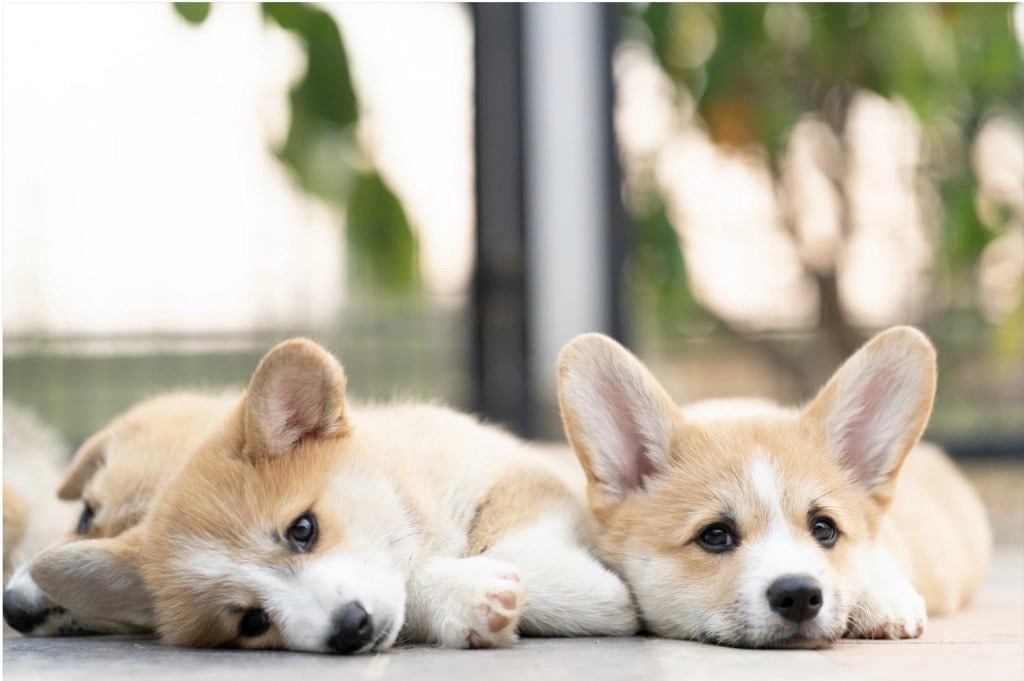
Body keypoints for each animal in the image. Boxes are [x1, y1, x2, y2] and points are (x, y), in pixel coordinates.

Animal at [29, 339, 638, 655]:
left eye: (303, 529)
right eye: (251, 622)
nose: (350, 629)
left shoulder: (518, 476)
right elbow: (412, 580)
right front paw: (467, 596)